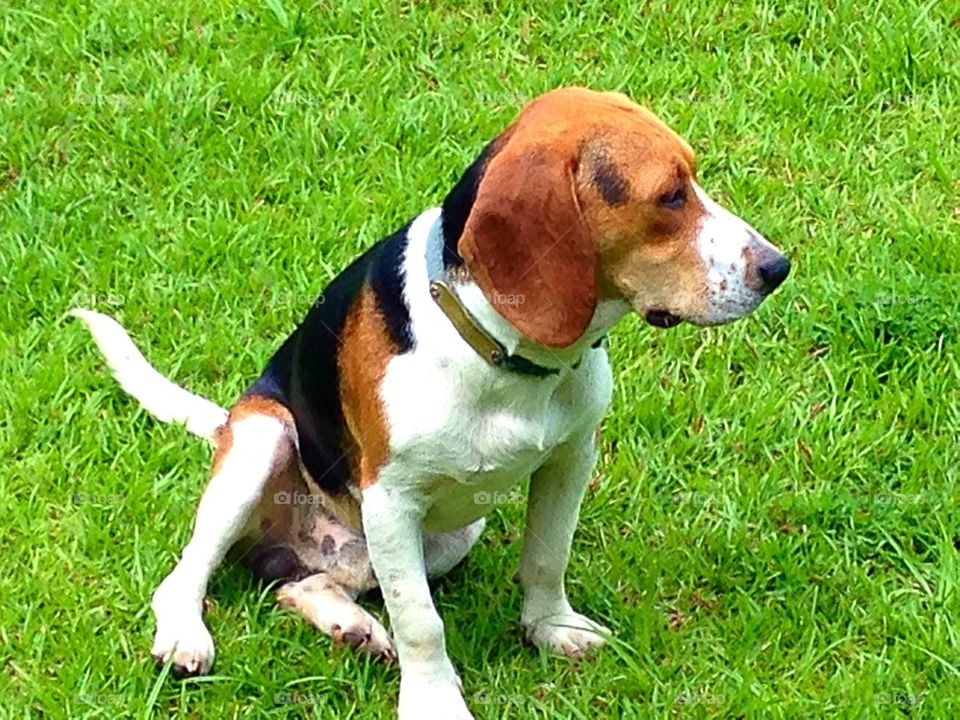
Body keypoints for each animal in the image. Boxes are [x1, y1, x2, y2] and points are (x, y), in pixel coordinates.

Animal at [73, 87, 788, 716]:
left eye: (692, 179)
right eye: (669, 195)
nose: (777, 268)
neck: (506, 355)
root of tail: (230, 418)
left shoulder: (570, 458)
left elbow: (546, 557)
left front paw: (550, 628)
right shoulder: (392, 500)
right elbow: (421, 622)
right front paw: (434, 703)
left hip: (447, 534)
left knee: (301, 583)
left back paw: (350, 625)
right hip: (263, 439)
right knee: (189, 571)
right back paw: (185, 634)